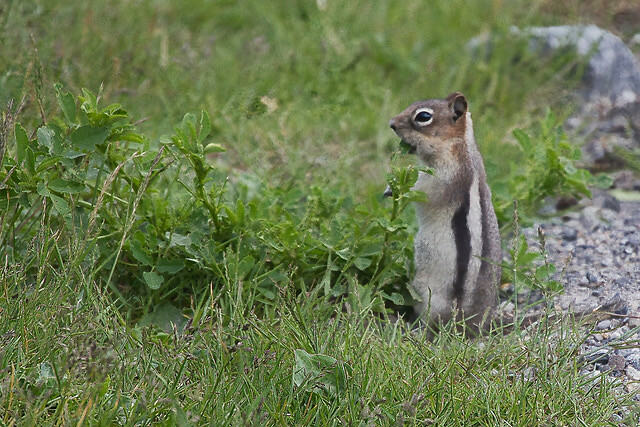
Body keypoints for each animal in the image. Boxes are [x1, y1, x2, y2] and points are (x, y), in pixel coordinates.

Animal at [388, 92, 501, 334]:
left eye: (423, 117)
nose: (392, 123)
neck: (458, 143)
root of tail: (474, 325)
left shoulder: (445, 177)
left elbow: (423, 192)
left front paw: (397, 189)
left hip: (434, 298)